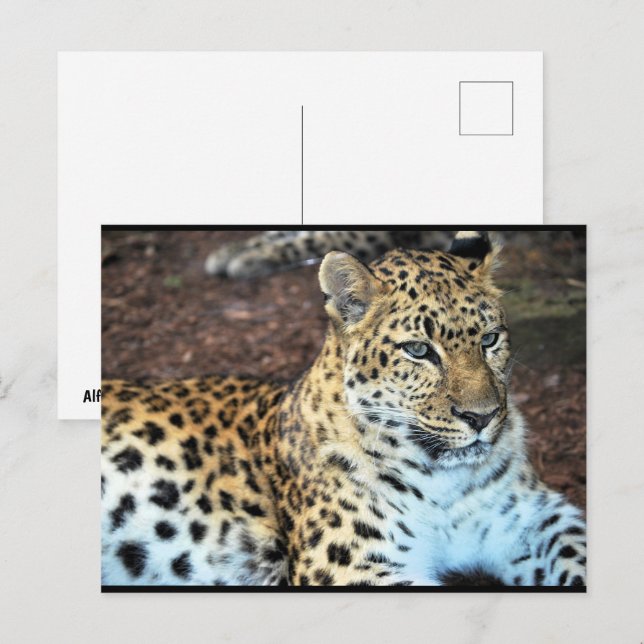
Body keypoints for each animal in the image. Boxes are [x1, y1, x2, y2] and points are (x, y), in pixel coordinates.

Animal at [102, 230, 586, 587]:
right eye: (418, 350)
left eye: (489, 339)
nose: (482, 417)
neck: (444, 481)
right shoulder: (350, 566)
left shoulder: (536, 517)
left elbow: (576, 552)